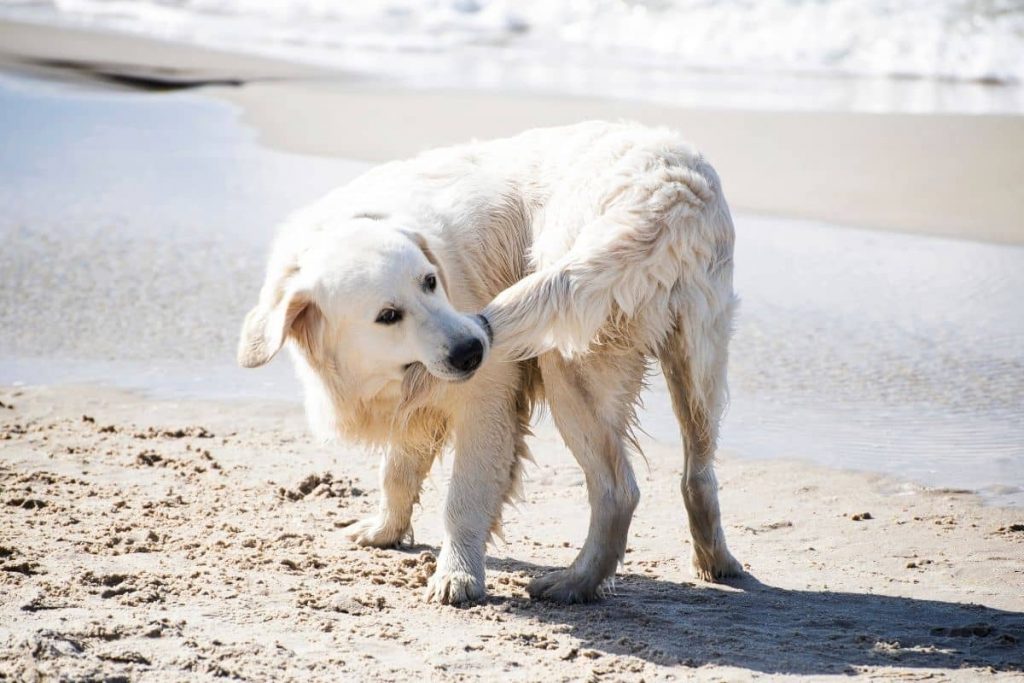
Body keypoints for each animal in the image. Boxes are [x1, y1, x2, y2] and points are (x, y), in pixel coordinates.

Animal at [235, 121, 741, 602]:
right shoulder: (416, 403)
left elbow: (463, 497)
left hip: (569, 361)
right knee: (698, 475)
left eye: (430, 281)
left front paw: (457, 575)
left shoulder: (487, 398)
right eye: (387, 316)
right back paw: (716, 562)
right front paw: (384, 531)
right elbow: (396, 471)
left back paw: (574, 583)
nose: (472, 349)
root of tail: (670, 191)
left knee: (619, 490)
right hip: (697, 364)